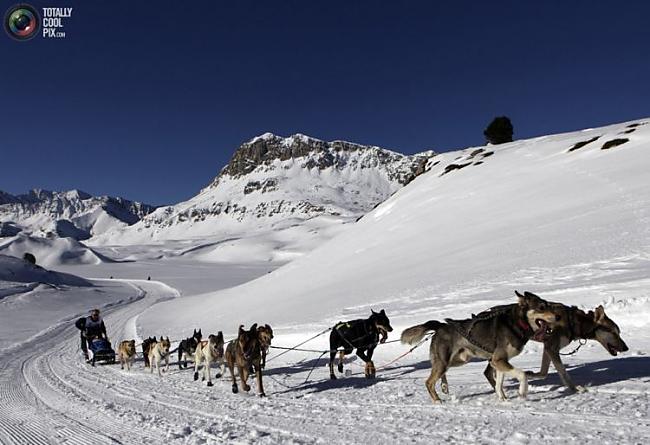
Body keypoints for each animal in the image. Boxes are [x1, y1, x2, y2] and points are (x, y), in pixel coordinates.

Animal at [400, 292, 556, 402]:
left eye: (548, 305)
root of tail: (441, 325)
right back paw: (437, 400)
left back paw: (444, 386)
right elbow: (522, 374)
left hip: (458, 360)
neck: (517, 323)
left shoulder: (498, 361)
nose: (557, 317)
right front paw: (522, 392)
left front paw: (503, 399)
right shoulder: (498, 360)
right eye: (541, 307)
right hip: (445, 361)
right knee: (429, 382)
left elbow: (498, 383)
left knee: (439, 373)